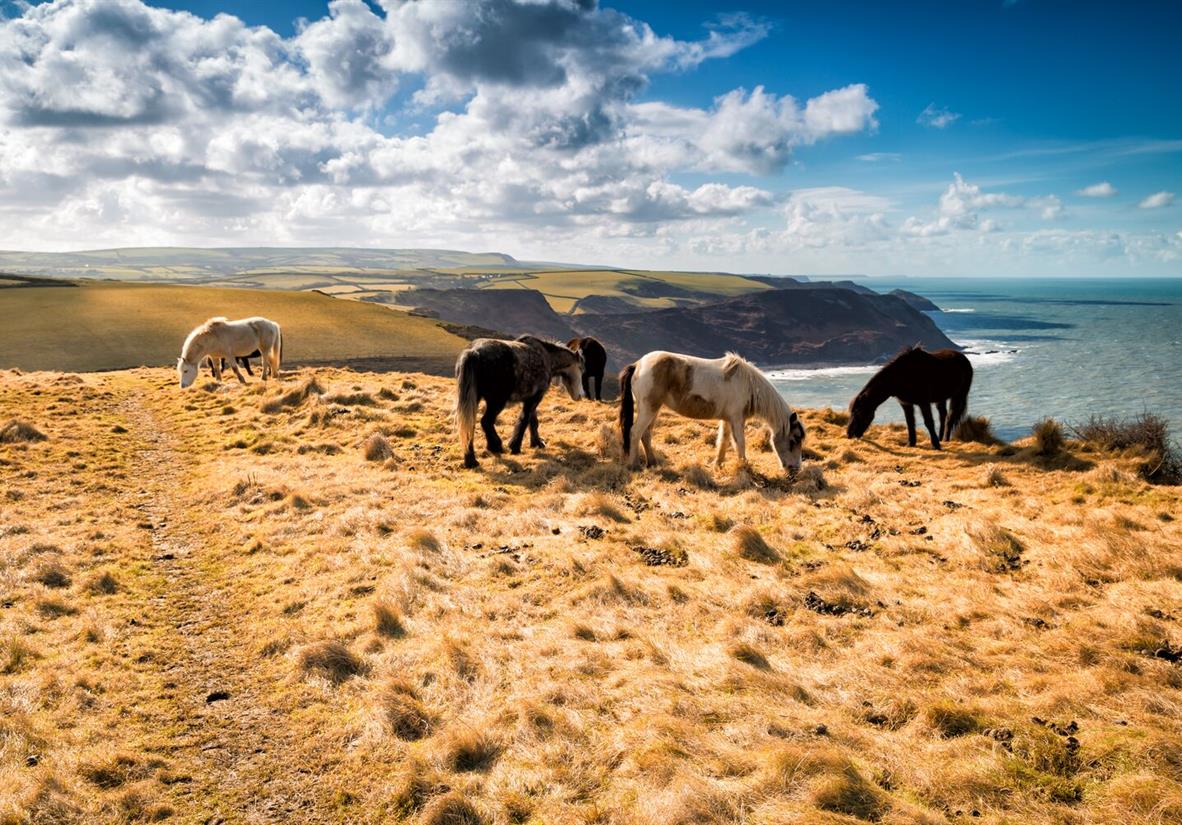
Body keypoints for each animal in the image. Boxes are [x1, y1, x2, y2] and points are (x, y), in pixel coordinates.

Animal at [454, 335, 585, 468]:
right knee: (486, 421)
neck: (547, 357)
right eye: (580, 368)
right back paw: (496, 446)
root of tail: (473, 352)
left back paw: (471, 461)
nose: (580, 395)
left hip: (474, 398)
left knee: (470, 425)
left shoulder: (530, 398)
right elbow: (525, 420)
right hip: (497, 401)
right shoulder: (536, 397)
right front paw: (515, 447)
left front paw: (537, 443)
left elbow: (533, 421)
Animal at [618, 351, 805, 473]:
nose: (795, 469)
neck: (748, 385)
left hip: (653, 409)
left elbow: (723, 441)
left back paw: (652, 463)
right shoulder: (737, 419)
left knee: (646, 434)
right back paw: (634, 466)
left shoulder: (728, 419)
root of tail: (638, 365)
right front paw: (744, 467)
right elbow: (740, 443)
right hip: (648, 409)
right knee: (635, 432)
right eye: (794, 439)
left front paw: (718, 464)